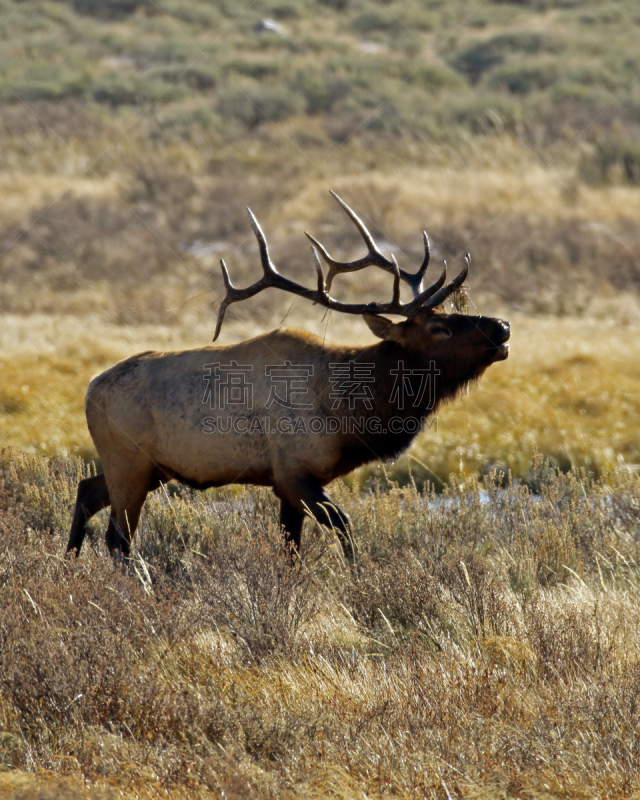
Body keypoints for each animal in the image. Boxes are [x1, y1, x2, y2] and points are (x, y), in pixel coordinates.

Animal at [67, 191, 510, 560]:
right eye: (439, 327)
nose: (503, 327)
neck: (350, 412)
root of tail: (89, 390)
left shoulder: (290, 483)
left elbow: (291, 551)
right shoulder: (293, 471)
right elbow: (344, 528)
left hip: (149, 468)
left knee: (86, 491)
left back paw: (70, 564)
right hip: (128, 462)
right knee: (118, 538)